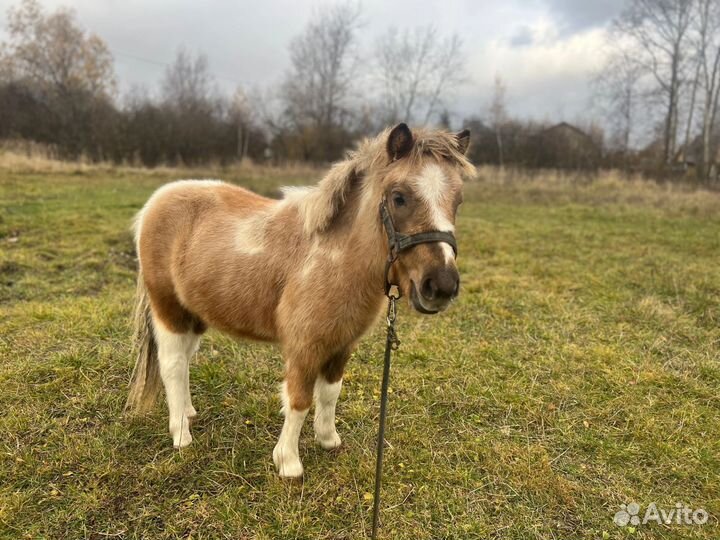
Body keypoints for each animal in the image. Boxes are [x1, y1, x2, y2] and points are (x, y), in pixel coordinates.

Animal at [128, 123, 478, 476]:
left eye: (459, 201)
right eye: (399, 197)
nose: (441, 285)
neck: (333, 259)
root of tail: (156, 202)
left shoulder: (341, 345)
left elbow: (330, 393)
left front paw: (328, 440)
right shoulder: (305, 347)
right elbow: (299, 400)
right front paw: (288, 463)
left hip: (194, 315)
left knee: (185, 360)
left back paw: (187, 413)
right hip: (168, 310)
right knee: (172, 364)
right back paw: (181, 435)